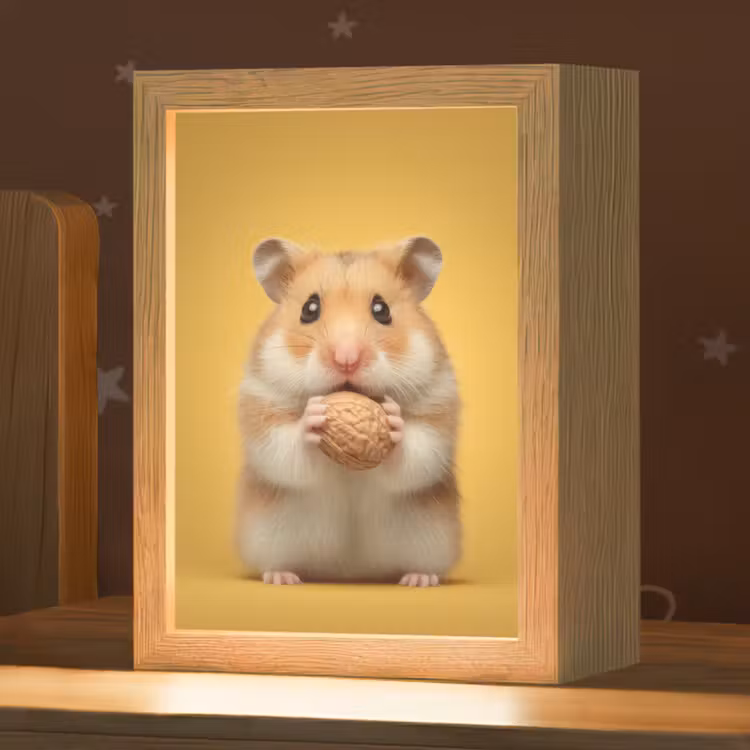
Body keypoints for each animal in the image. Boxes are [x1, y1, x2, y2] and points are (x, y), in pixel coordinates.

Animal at [234, 236, 462, 586]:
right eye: (309, 309)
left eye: (382, 310)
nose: (346, 359)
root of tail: (350, 572)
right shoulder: (262, 406)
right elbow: (284, 449)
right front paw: (313, 418)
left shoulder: (437, 408)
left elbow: (419, 452)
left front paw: (393, 421)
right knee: (275, 562)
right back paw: (283, 577)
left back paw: (418, 579)